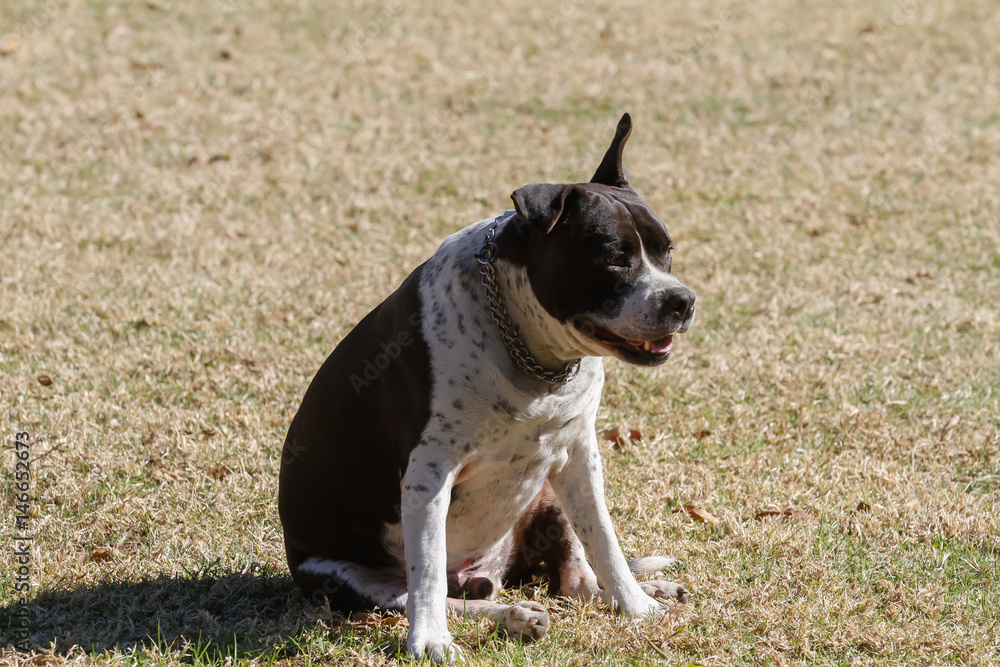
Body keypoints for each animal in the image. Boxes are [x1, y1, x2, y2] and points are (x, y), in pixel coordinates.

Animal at [278, 115, 692, 664]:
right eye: (614, 258)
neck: (535, 359)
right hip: (347, 575)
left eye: (667, 251)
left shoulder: (579, 454)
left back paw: (630, 591)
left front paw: (637, 607)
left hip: (548, 494)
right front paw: (430, 641)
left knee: (576, 579)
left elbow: (604, 540)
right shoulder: (429, 474)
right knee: (432, 595)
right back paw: (511, 616)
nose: (682, 300)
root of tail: (486, 571)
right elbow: (428, 574)